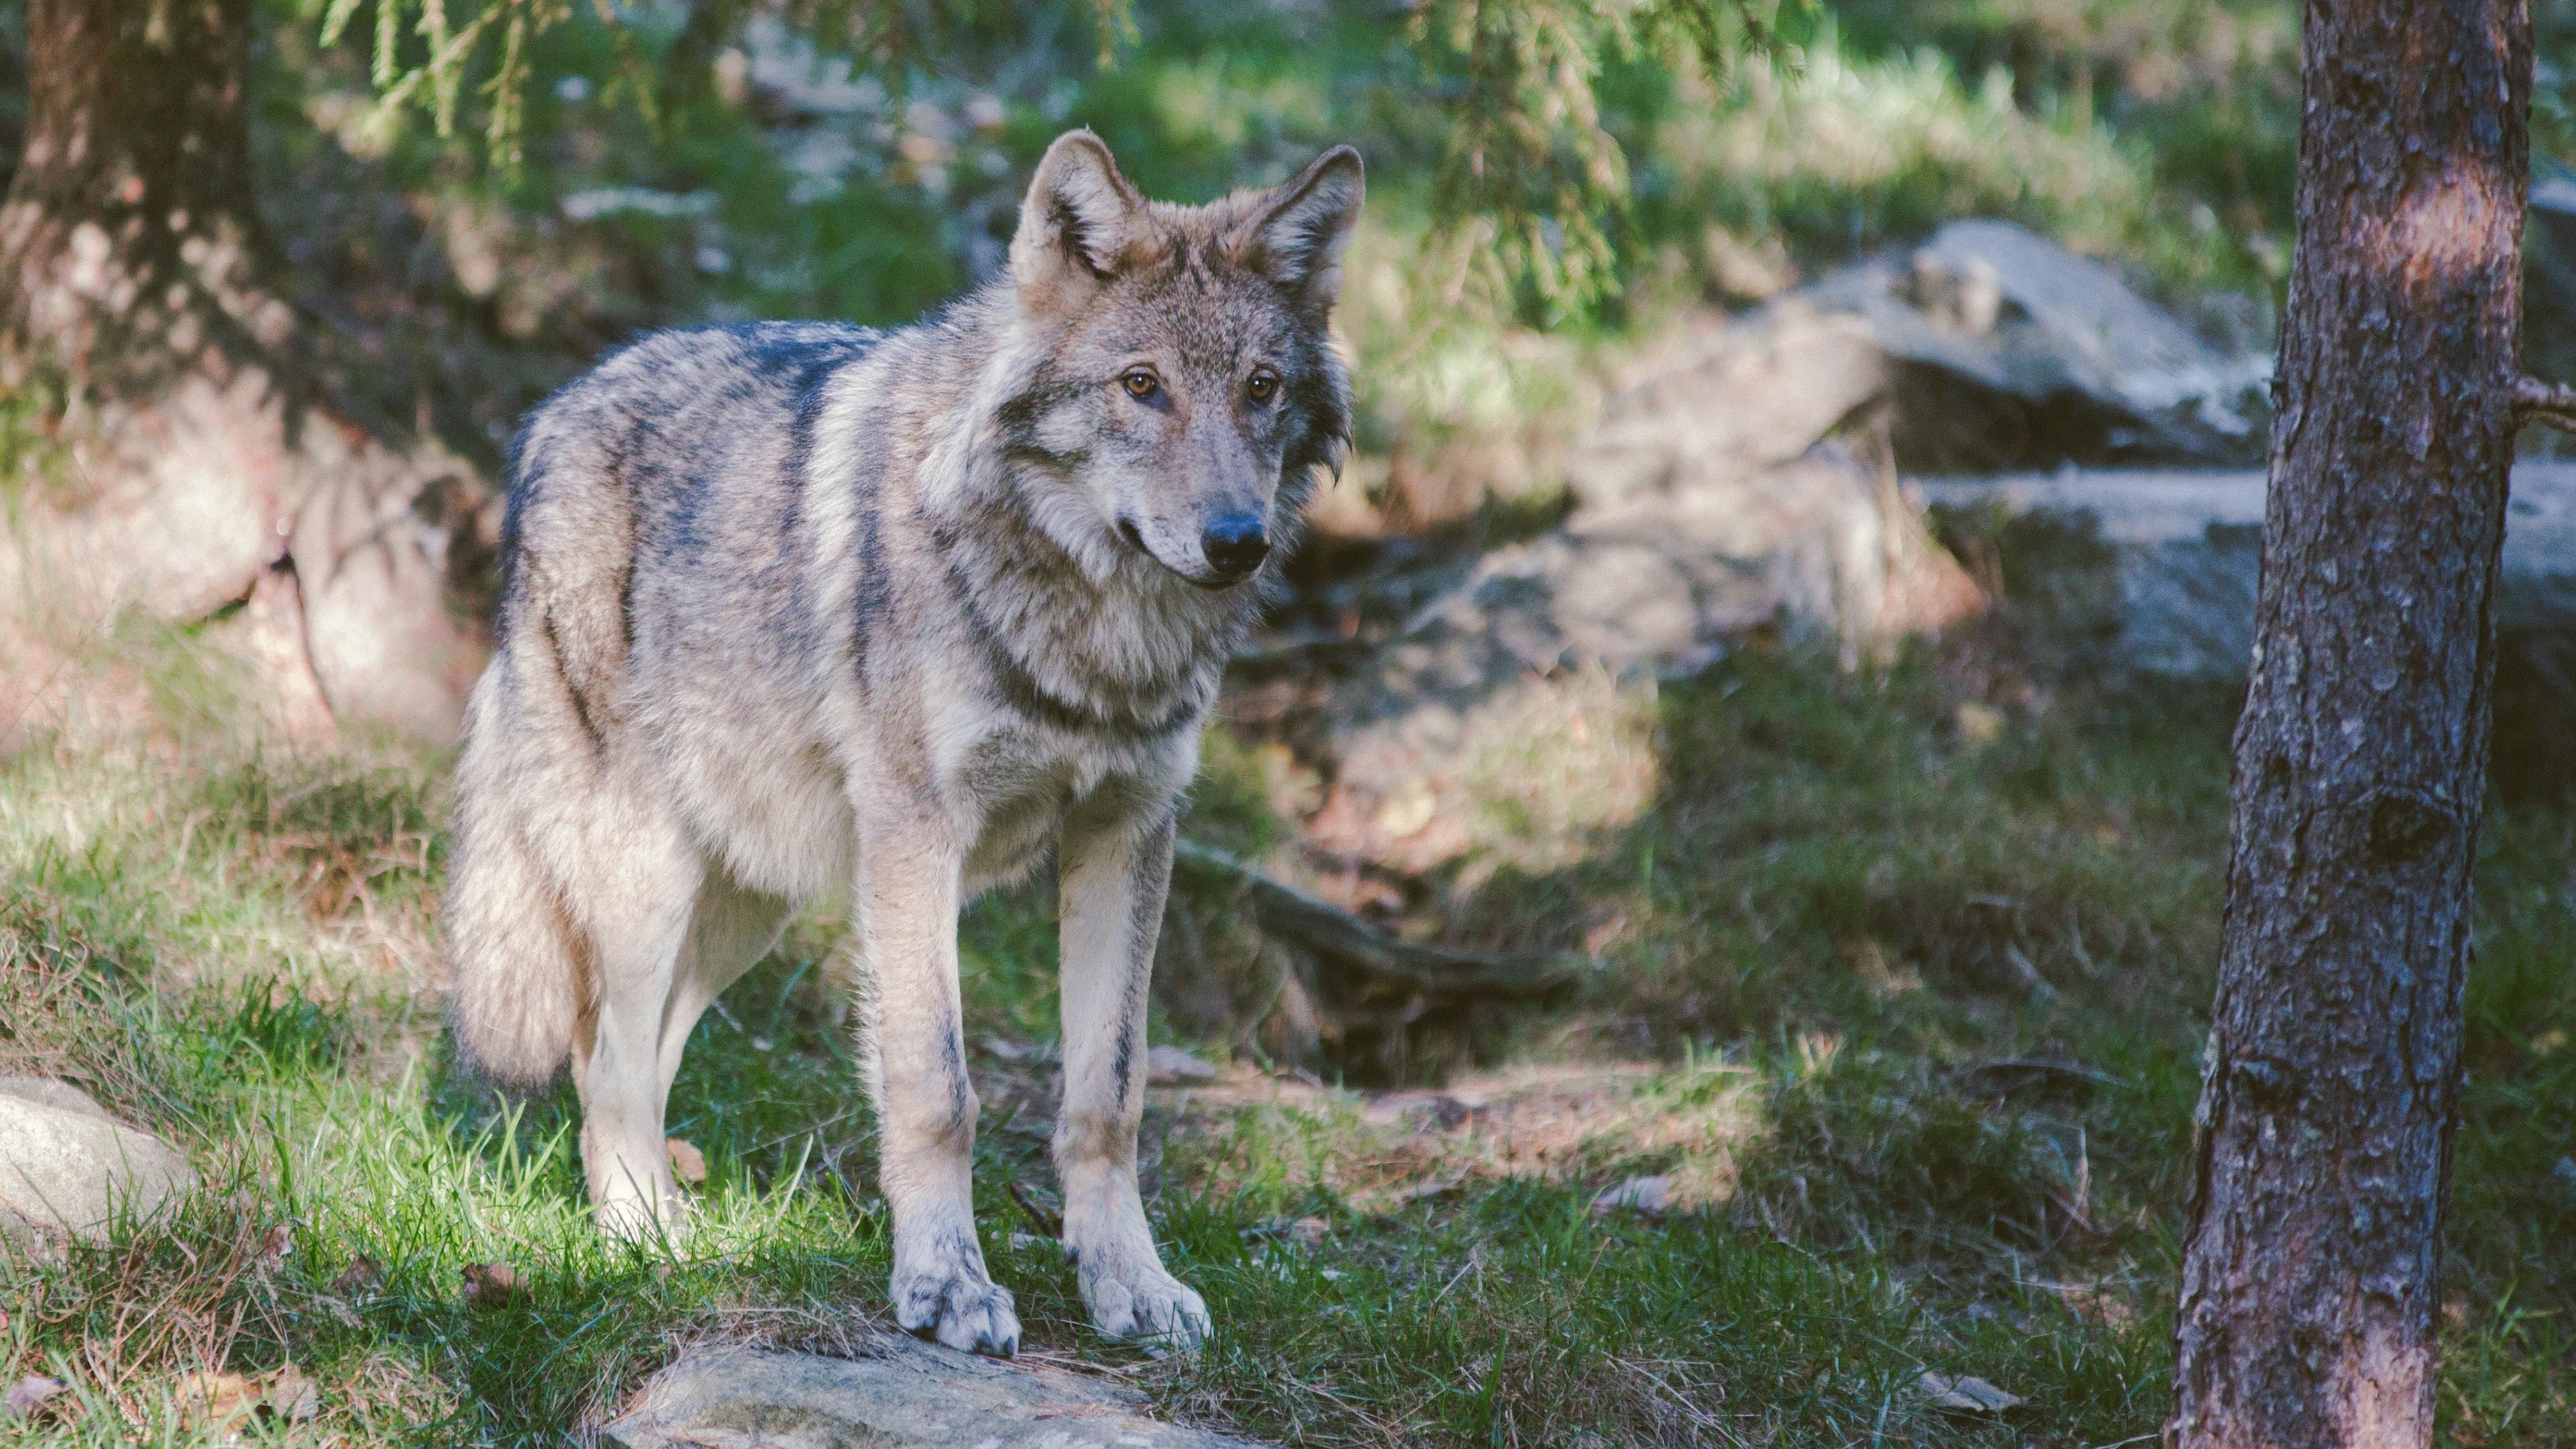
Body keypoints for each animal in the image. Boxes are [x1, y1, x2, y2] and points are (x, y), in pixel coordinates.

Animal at [443, 127, 1370, 1351]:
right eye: (1142, 386)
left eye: (1260, 388)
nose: (1237, 541)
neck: (1092, 632)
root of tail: (552, 413)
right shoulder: (921, 837)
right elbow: (937, 1089)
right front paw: (947, 1285)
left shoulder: (1129, 832)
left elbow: (1108, 1095)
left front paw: (1128, 1281)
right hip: (647, 879)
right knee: (603, 1062)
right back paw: (647, 1244)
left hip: (752, 899)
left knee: (649, 1053)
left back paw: (680, 1227)